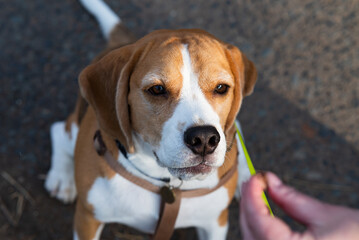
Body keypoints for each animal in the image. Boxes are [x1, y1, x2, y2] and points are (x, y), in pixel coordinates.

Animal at [45, 0, 256, 239]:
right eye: (157, 89)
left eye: (221, 87)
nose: (204, 139)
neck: (168, 183)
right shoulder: (88, 218)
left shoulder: (215, 222)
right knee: (59, 129)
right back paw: (62, 177)